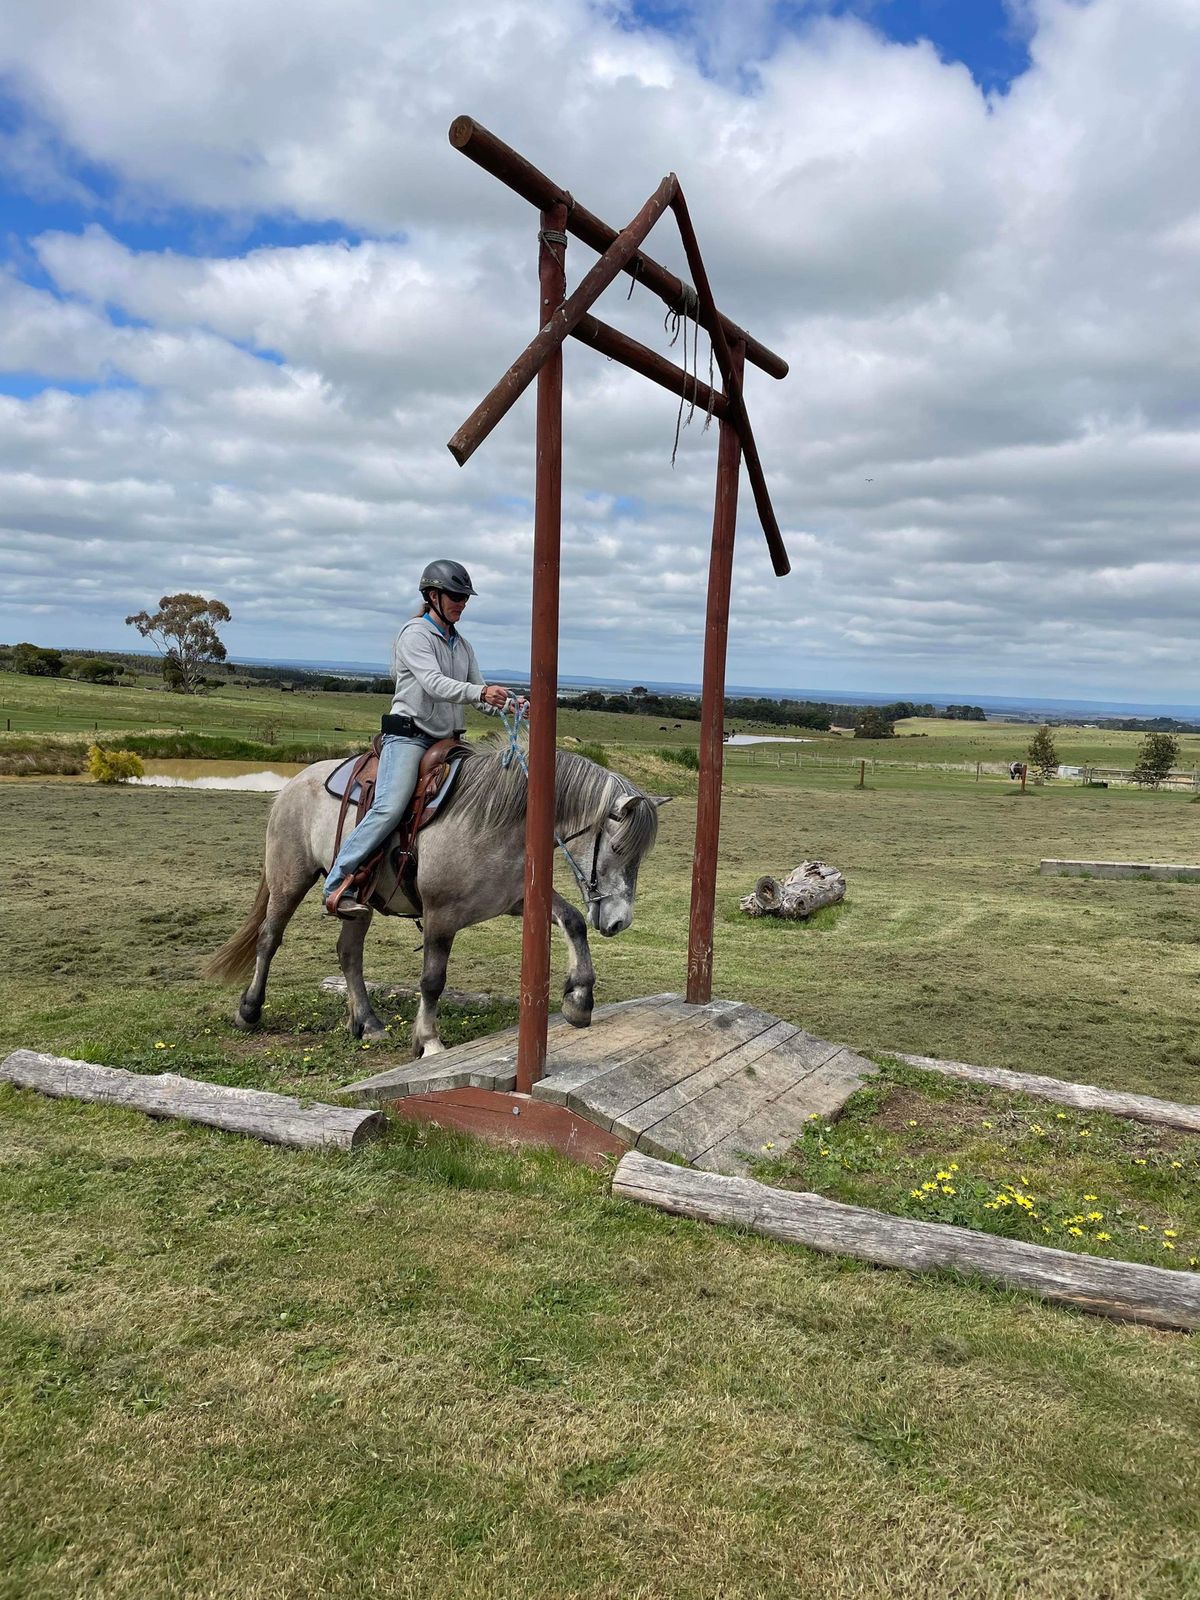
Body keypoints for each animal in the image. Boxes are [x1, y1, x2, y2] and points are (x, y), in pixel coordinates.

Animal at [202, 752, 662, 1062]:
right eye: (617, 849)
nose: (620, 921)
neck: (500, 823)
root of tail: (294, 783)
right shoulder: (441, 916)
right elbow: (432, 980)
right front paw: (429, 1042)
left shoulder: (517, 900)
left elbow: (574, 922)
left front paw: (579, 1000)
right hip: (289, 879)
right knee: (269, 938)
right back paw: (249, 1010)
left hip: (359, 904)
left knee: (348, 953)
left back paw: (368, 1022)